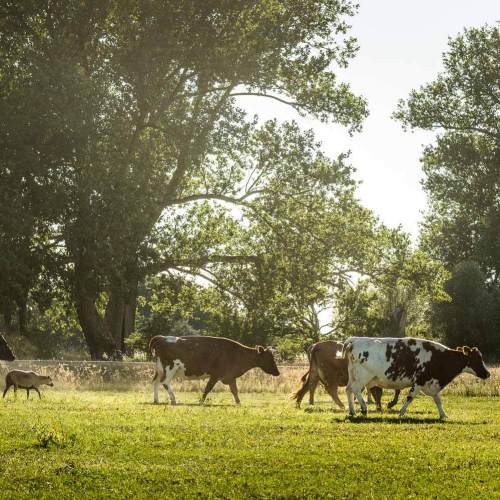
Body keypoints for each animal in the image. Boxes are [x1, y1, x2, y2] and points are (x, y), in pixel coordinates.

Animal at [148, 334, 282, 404]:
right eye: (269, 358)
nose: (278, 372)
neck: (237, 353)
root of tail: (161, 338)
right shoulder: (216, 375)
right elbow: (207, 389)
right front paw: (201, 401)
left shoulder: (230, 376)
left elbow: (234, 390)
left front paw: (238, 402)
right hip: (170, 368)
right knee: (165, 382)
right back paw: (174, 399)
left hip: (159, 370)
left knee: (155, 382)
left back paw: (156, 400)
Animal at [342, 336, 490, 418]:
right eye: (477, 359)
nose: (488, 373)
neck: (439, 358)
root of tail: (354, 340)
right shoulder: (419, 381)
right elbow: (410, 397)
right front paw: (401, 412)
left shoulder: (431, 384)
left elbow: (438, 400)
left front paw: (443, 415)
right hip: (362, 377)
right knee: (355, 390)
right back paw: (363, 408)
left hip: (352, 375)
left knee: (348, 390)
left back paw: (352, 411)